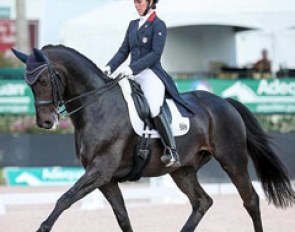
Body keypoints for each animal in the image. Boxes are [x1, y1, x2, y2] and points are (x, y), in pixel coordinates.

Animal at [11, 45, 295, 232]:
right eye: (28, 84)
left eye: (44, 80)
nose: (45, 123)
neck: (97, 105)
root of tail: (224, 102)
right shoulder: (105, 179)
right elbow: (123, 217)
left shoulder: (100, 171)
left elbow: (64, 200)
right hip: (183, 170)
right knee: (202, 201)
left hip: (232, 159)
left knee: (250, 200)